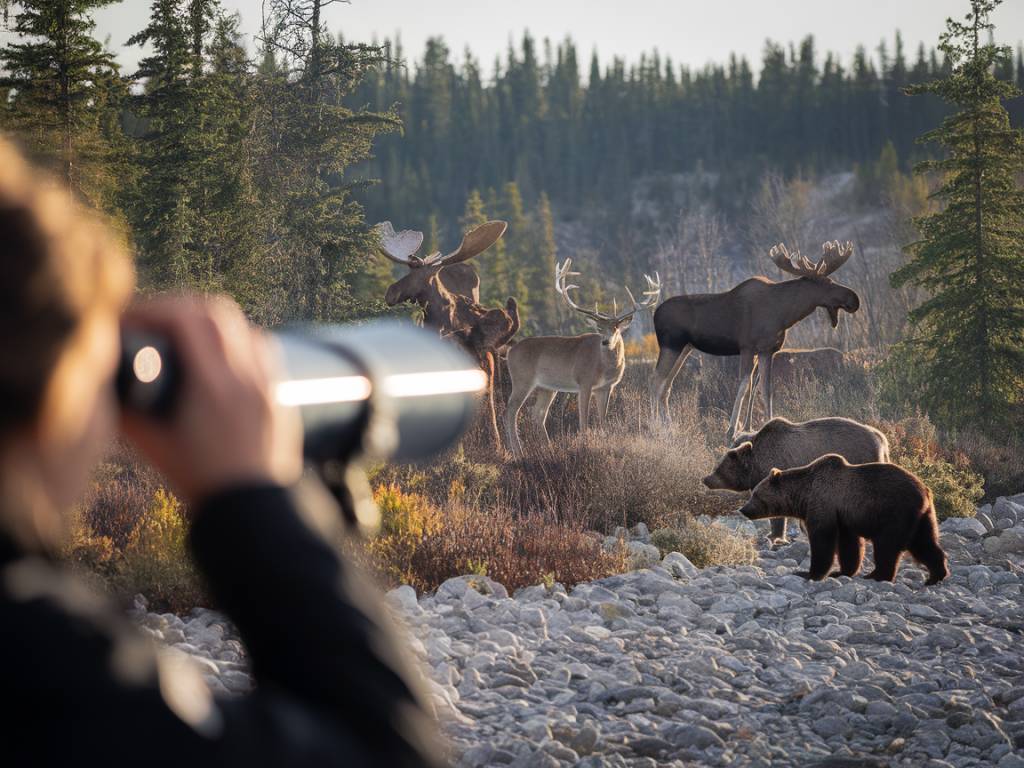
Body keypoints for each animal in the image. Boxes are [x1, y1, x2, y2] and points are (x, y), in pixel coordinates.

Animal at [505, 259, 663, 456]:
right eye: (599, 328)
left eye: (615, 329)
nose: (605, 341)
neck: (603, 366)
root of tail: (510, 351)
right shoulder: (584, 381)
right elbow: (584, 421)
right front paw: (584, 446)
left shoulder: (606, 387)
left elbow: (602, 420)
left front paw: (603, 444)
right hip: (522, 378)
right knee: (510, 410)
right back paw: (518, 452)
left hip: (547, 387)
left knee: (537, 414)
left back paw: (548, 449)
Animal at [651, 240, 860, 438]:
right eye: (827, 282)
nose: (854, 299)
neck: (784, 314)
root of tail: (655, 314)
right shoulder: (747, 347)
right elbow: (744, 386)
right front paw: (731, 431)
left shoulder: (768, 350)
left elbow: (765, 390)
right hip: (670, 345)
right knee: (656, 383)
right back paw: (656, 430)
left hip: (685, 348)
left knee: (666, 386)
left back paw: (669, 429)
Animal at [741, 454, 946, 585]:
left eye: (756, 493)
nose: (743, 509)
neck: (803, 495)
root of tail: (925, 491)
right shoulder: (844, 518)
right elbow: (849, 545)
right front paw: (841, 571)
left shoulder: (824, 504)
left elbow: (822, 541)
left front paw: (808, 573)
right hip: (922, 517)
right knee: (924, 543)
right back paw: (935, 575)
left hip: (895, 512)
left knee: (887, 545)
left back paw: (878, 575)